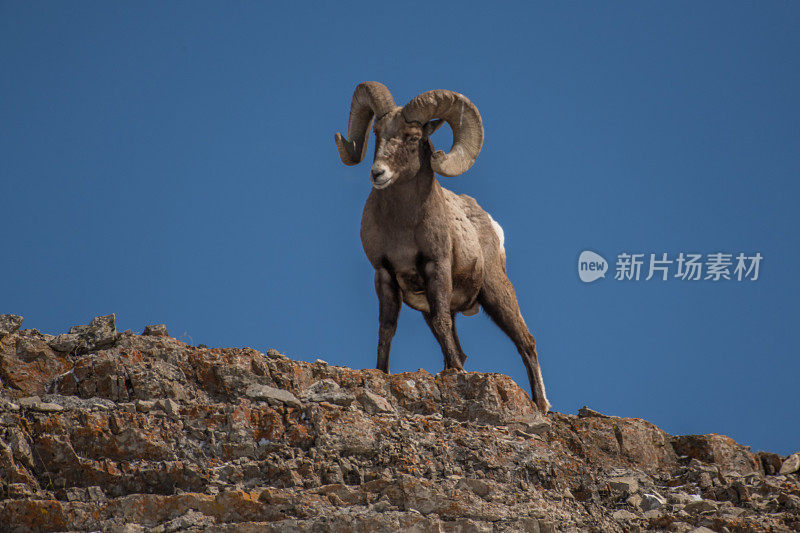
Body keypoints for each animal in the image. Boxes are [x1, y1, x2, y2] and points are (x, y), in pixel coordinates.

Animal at [334, 81, 552, 412]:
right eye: (377, 133)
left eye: (413, 137)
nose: (378, 173)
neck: (402, 225)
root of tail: (492, 225)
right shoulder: (384, 274)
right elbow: (387, 328)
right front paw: (382, 372)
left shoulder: (435, 267)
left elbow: (441, 321)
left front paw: (455, 374)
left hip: (495, 290)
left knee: (525, 341)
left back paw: (542, 405)